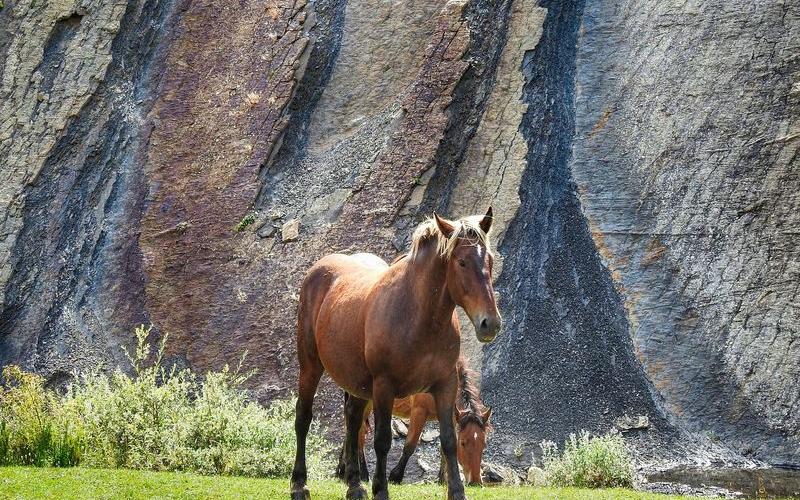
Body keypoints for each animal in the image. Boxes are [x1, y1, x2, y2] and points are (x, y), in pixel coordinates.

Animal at [334, 358, 490, 486]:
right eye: (463, 443)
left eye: (484, 444)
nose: (476, 481)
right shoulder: (419, 412)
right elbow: (410, 445)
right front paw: (395, 476)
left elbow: (444, 447)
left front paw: (443, 479)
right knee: (358, 432)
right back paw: (362, 474)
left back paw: (342, 471)